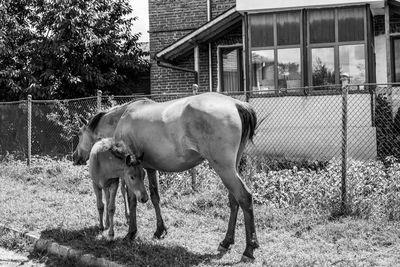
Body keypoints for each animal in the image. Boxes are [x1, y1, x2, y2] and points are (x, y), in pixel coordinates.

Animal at [74, 92, 260, 262]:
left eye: (79, 134)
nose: (75, 156)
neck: (123, 116)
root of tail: (236, 104)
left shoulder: (130, 171)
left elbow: (132, 200)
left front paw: (131, 233)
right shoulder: (149, 169)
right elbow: (155, 197)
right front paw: (160, 230)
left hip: (224, 168)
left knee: (244, 197)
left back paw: (249, 249)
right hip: (231, 168)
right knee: (234, 200)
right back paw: (226, 242)